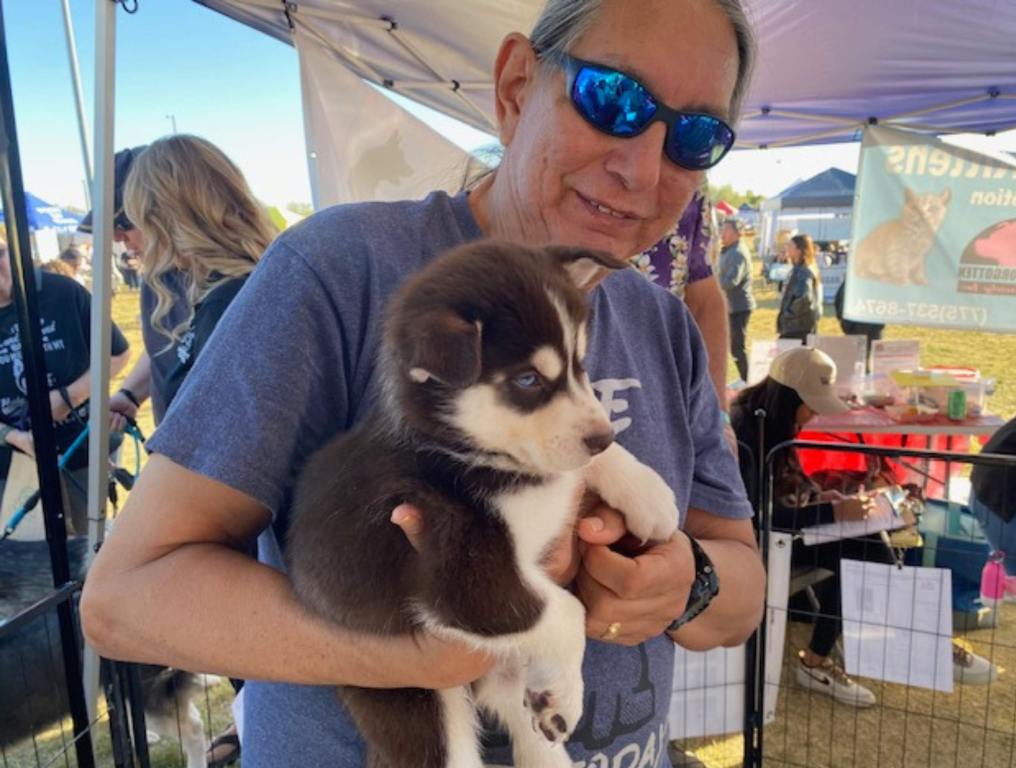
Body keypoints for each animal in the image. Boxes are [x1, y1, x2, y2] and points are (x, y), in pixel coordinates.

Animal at [284, 239, 674, 768]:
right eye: (528, 380)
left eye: (580, 364)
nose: (602, 436)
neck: (467, 452)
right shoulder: (464, 579)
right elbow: (567, 611)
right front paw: (568, 694)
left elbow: (576, 468)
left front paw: (649, 494)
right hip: (417, 699)